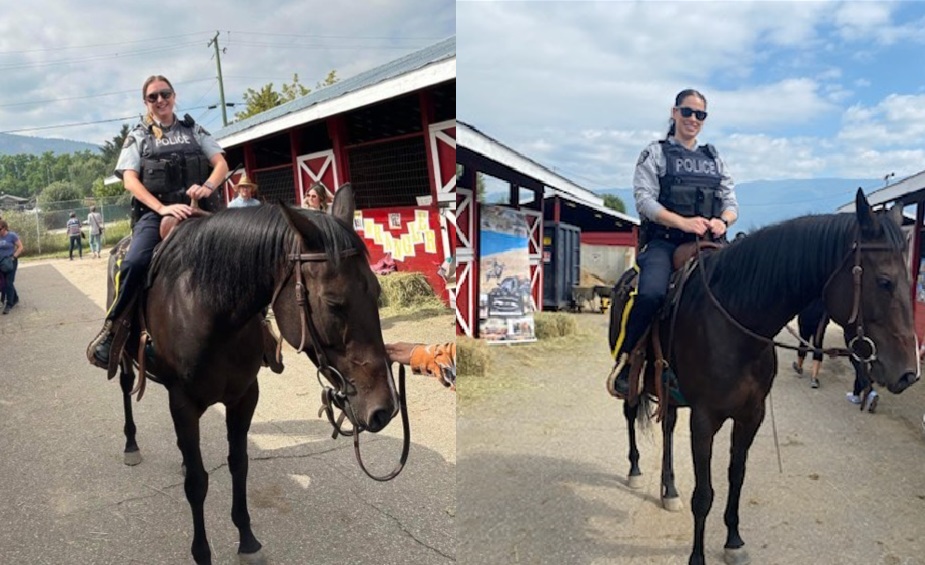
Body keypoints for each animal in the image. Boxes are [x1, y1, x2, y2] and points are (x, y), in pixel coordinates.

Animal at [105, 184, 400, 560]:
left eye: (377, 291)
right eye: (334, 302)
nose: (384, 409)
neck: (210, 311)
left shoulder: (244, 396)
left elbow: (238, 463)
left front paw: (246, 537)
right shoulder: (183, 402)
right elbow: (197, 483)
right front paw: (202, 552)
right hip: (124, 359)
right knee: (126, 387)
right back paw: (131, 445)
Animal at [608, 191, 916, 564]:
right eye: (884, 282)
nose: (909, 372)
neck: (737, 325)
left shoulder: (751, 415)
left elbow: (736, 478)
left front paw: (734, 540)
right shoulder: (704, 419)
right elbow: (704, 494)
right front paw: (698, 557)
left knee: (667, 425)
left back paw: (668, 489)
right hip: (634, 377)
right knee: (629, 412)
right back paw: (636, 471)